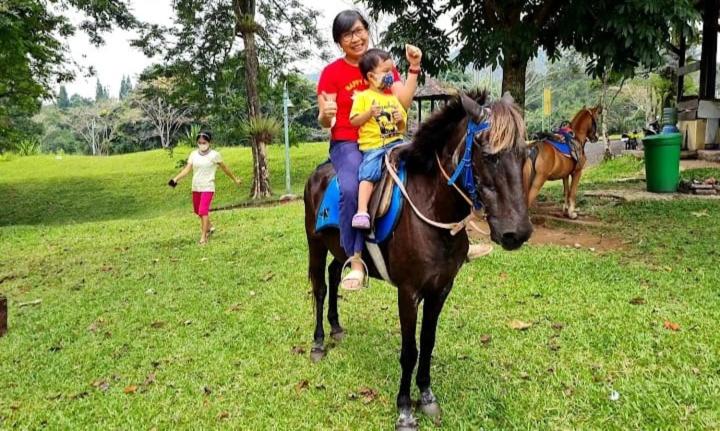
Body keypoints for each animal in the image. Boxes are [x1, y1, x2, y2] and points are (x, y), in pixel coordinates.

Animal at [300, 92, 532, 431]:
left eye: (525, 155)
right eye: (489, 156)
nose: (517, 232)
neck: (432, 208)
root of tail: (317, 173)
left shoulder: (441, 289)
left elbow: (428, 342)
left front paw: (426, 396)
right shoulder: (408, 292)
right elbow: (410, 350)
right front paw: (405, 409)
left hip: (339, 247)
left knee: (334, 274)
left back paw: (337, 326)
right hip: (315, 244)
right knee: (319, 288)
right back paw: (318, 343)